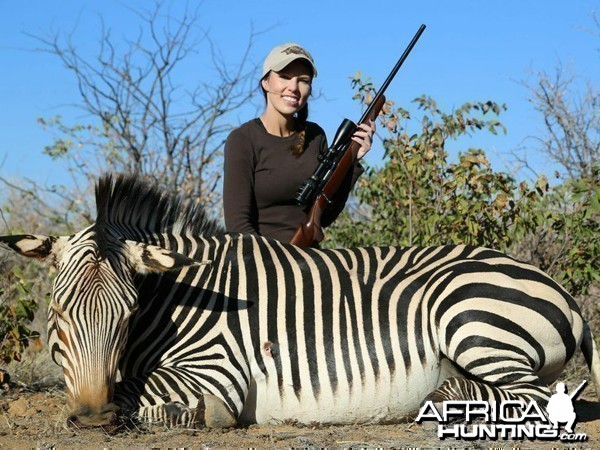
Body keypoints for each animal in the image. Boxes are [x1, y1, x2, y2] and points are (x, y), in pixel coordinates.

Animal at [0, 173, 596, 428]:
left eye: (127, 315)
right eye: (58, 314)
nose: (91, 418)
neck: (179, 298)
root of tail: (564, 295)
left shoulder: (218, 369)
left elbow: (138, 389)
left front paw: (186, 413)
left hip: (466, 315)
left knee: (536, 398)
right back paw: (443, 397)